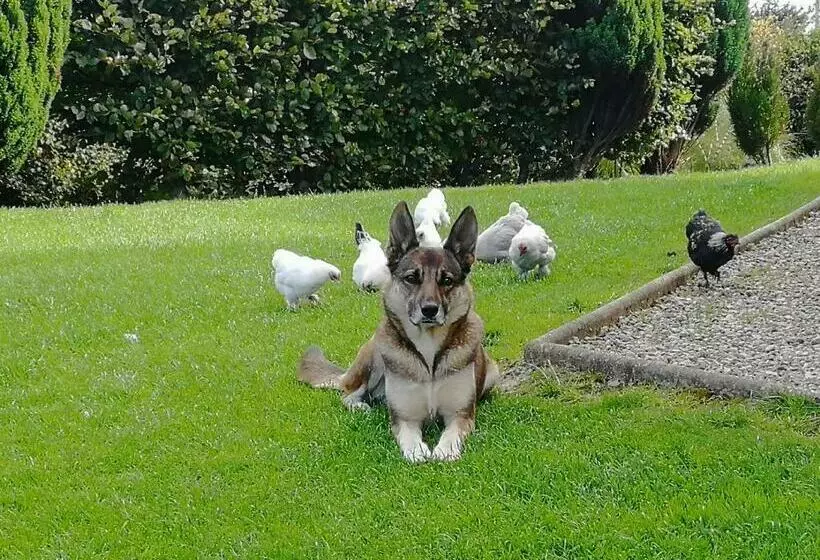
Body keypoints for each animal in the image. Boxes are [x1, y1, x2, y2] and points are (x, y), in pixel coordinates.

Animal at [298, 201, 498, 462]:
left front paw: (445, 450)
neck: (428, 353)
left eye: (447, 280)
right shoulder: (405, 418)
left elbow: (451, 434)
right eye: (412, 278)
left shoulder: (460, 414)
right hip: (373, 355)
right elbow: (409, 437)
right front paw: (416, 450)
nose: (430, 310)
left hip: (493, 373)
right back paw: (361, 405)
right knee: (348, 393)